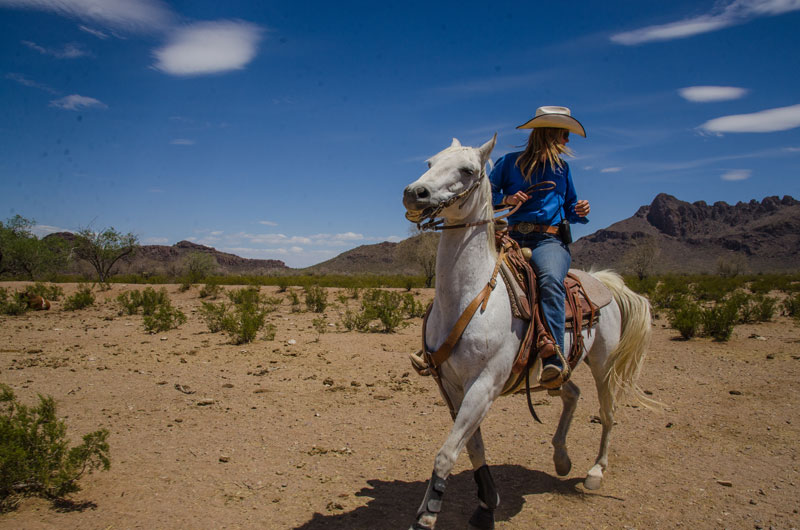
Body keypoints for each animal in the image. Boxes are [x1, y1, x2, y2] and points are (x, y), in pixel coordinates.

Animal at [404, 137, 652, 528]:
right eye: (430, 162)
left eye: (468, 171)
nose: (415, 193)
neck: (467, 298)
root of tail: (603, 281)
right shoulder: (451, 386)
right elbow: (472, 446)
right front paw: (487, 502)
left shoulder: (485, 384)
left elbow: (447, 453)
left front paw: (427, 515)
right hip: (557, 368)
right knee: (572, 393)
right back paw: (561, 459)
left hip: (604, 364)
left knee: (608, 412)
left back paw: (595, 471)